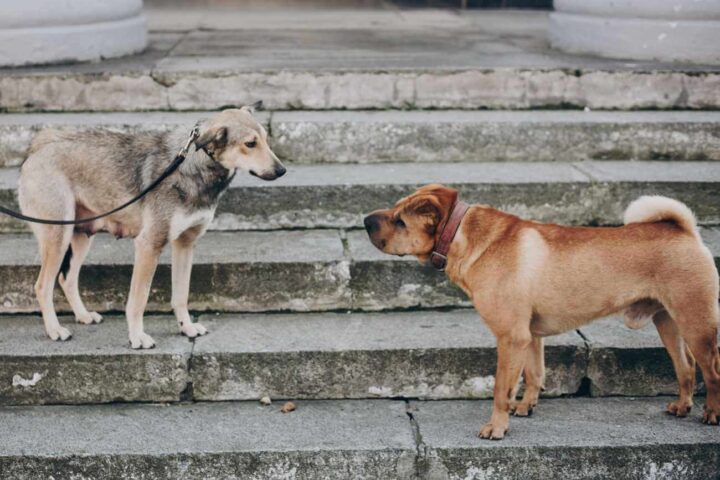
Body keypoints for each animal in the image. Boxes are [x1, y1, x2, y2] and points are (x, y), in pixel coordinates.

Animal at [18, 104, 286, 348]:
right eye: (250, 144)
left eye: (265, 139)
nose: (282, 170)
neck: (194, 167)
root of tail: (39, 148)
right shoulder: (149, 245)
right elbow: (139, 300)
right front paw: (137, 337)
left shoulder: (185, 244)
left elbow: (181, 295)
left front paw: (186, 327)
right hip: (58, 236)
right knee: (42, 285)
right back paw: (55, 330)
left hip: (82, 235)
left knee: (67, 279)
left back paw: (83, 316)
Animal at [366, 184, 720, 438]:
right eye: (394, 210)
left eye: (400, 221)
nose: (366, 220)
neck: (460, 235)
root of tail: (684, 230)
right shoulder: (530, 337)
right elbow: (534, 374)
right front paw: (525, 406)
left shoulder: (511, 338)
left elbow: (501, 388)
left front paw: (497, 427)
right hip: (668, 322)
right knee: (686, 368)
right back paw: (682, 406)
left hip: (696, 324)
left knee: (712, 372)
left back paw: (712, 414)